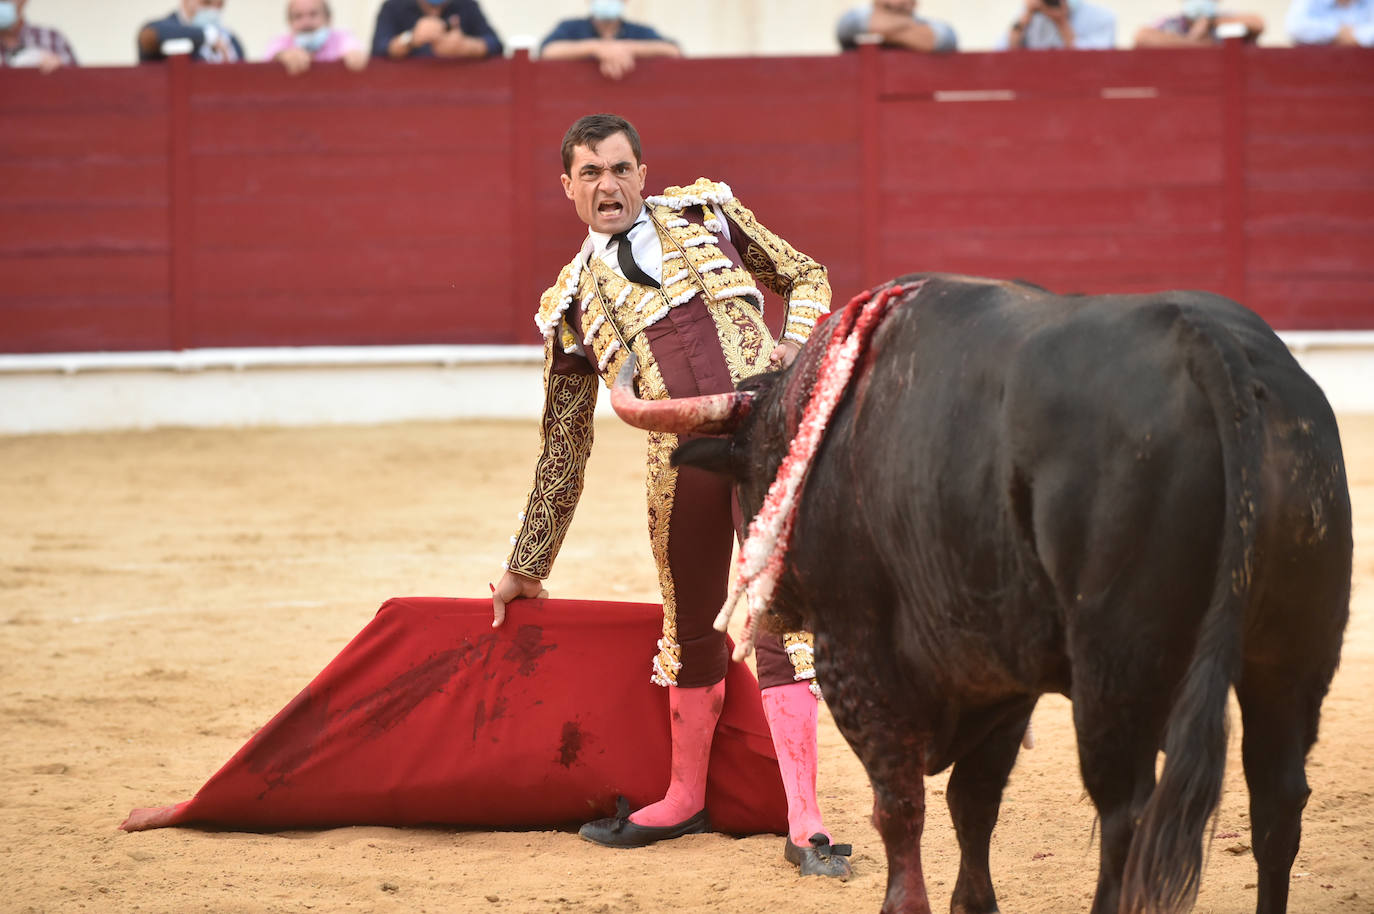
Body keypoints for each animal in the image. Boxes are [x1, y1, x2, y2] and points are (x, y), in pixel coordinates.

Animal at [612, 274, 1352, 912]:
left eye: (755, 474)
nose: (777, 601)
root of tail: (1212, 348)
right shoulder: (998, 674)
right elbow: (973, 803)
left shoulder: (859, 658)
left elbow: (901, 806)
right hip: (1293, 656)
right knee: (1278, 799)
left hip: (1118, 669)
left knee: (1128, 812)